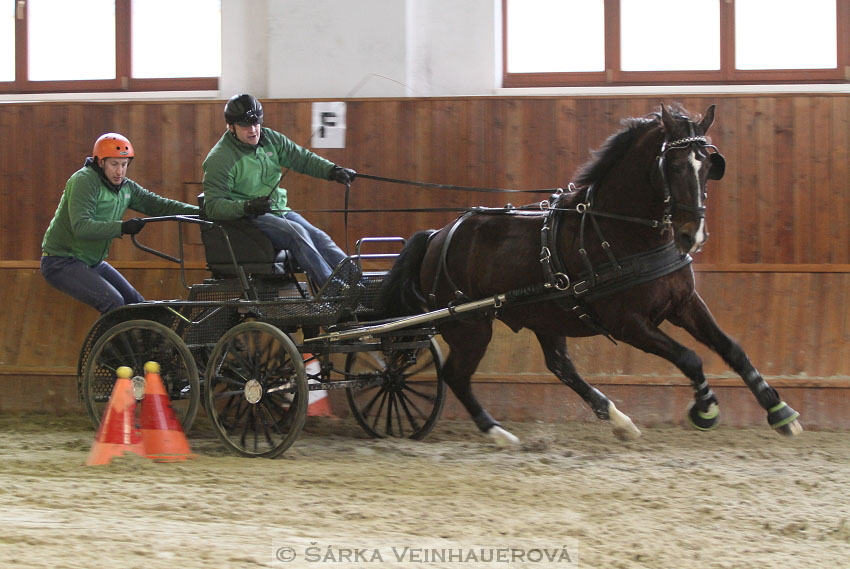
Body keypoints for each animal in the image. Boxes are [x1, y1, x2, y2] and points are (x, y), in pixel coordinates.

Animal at [380, 104, 800, 446]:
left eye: (709, 166)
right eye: (675, 166)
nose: (691, 235)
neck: (623, 230)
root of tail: (438, 235)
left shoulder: (683, 303)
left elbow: (732, 348)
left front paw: (779, 411)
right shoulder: (628, 323)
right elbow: (690, 357)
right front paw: (706, 409)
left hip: (544, 314)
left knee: (560, 367)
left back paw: (619, 421)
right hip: (471, 325)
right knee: (456, 375)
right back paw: (496, 432)